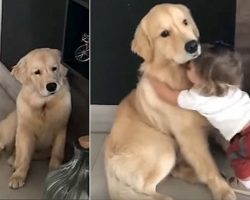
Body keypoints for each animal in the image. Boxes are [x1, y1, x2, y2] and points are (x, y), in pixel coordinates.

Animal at [0, 48, 71, 189]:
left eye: (54, 68)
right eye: (37, 72)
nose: (52, 86)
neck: (44, 105)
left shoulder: (61, 129)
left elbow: (57, 153)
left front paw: (55, 173)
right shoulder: (24, 131)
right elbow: (23, 157)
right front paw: (18, 176)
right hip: (11, 127)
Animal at [104, 3, 235, 200]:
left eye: (185, 22)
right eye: (165, 33)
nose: (192, 45)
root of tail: (108, 159)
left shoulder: (215, 124)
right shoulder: (190, 137)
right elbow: (208, 167)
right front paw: (223, 191)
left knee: (174, 171)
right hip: (165, 148)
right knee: (145, 187)